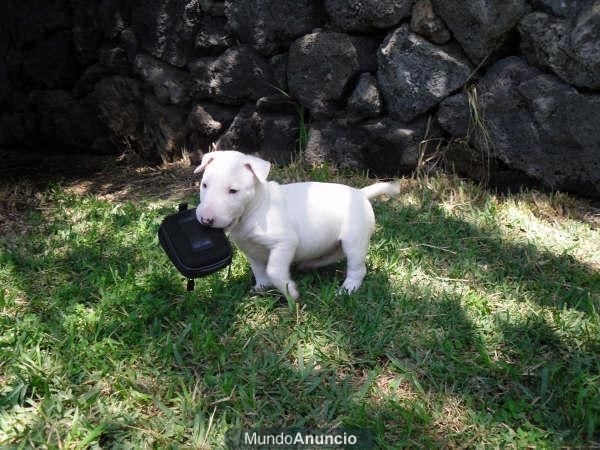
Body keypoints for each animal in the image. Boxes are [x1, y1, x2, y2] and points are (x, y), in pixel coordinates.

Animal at [196, 150, 398, 298]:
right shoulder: (249, 248)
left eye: (233, 191)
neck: (255, 210)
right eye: (204, 185)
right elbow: (259, 269)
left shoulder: (284, 243)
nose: (206, 220)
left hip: (355, 241)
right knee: (334, 254)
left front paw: (290, 291)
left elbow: (273, 269)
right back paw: (309, 265)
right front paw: (261, 287)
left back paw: (348, 288)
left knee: (357, 268)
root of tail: (361, 193)